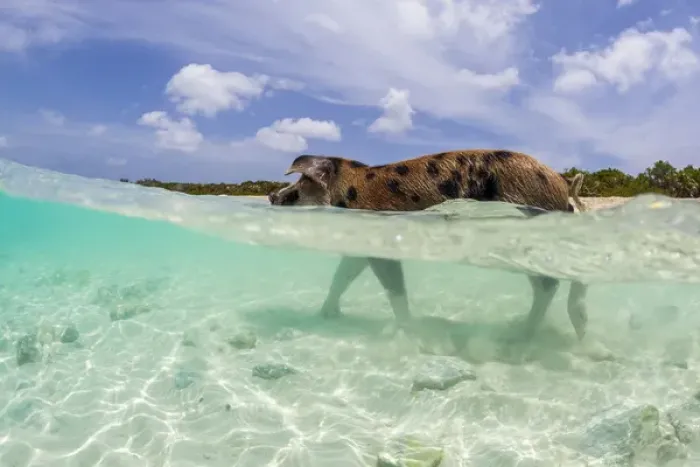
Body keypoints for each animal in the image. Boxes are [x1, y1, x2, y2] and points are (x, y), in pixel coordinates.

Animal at [268, 149, 589, 342]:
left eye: (299, 187)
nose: (272, 196)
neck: (348, 189)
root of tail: (561, 182)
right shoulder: (361, 245)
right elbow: (343, 275)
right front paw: (325, 315)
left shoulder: (381, 242)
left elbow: (394, 287)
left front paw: (408, 330)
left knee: (548, 285)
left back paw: (520, 334)